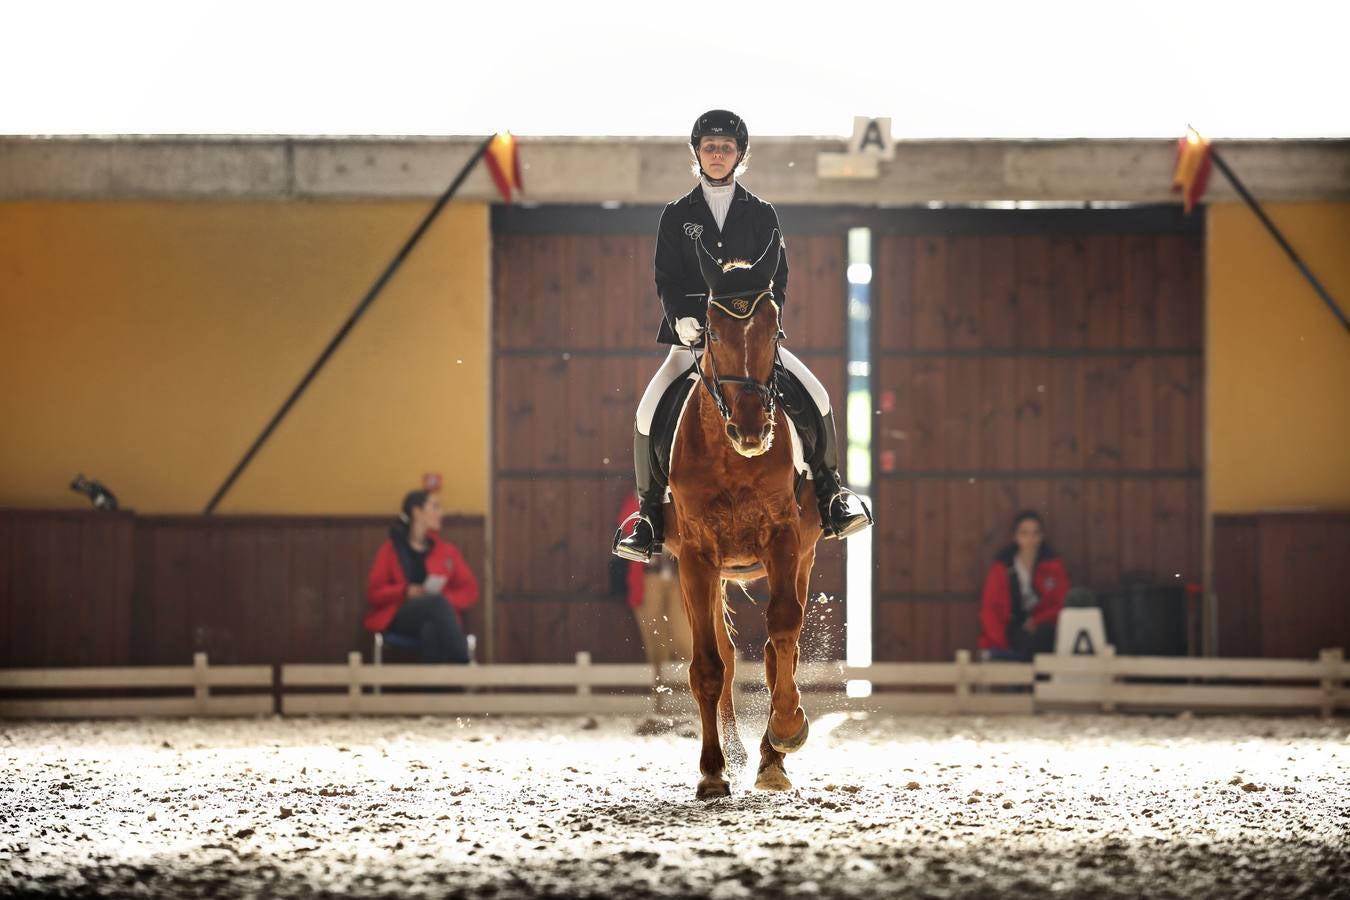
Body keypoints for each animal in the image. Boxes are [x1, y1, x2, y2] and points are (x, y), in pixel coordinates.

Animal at [656, 232, 820, 804]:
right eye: (711, 330)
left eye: (775, 329)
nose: (752, 430)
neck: (732, 456)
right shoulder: (697, 556)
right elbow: (708, 666)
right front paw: (712, 772)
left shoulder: (785, 540)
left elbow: (783, 631)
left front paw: (788, 730)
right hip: (700, 572)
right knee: (726, 658)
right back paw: (738, 752)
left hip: (802, 555)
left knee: (775, 649)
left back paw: (772, 757)